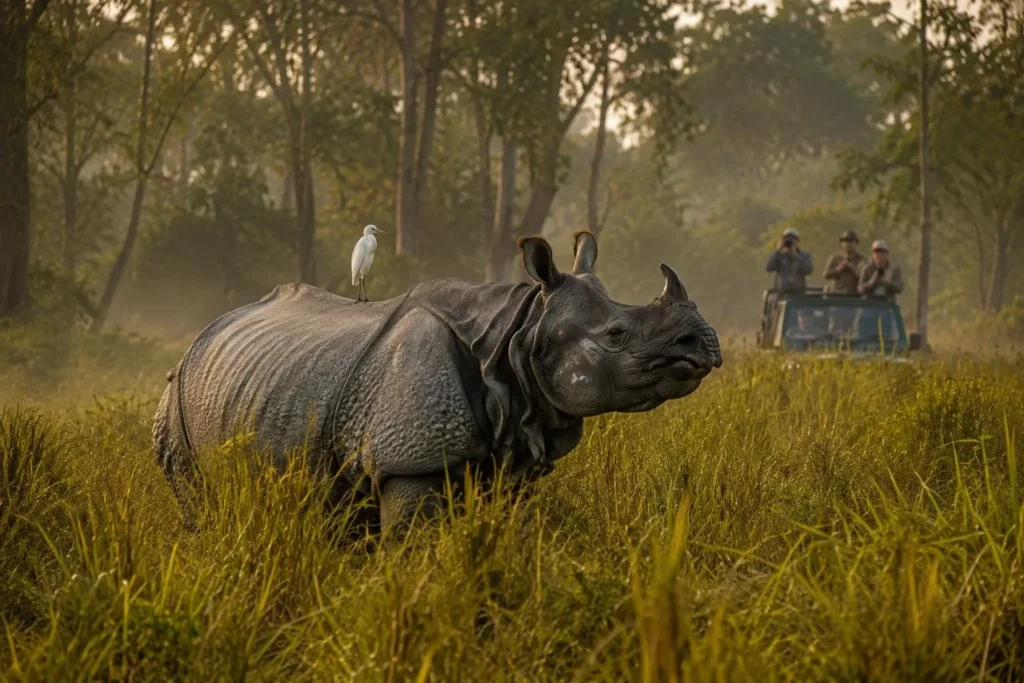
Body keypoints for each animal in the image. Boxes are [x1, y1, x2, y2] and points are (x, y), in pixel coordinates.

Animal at [153, 232, 722, 530]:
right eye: (617, 334)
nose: (705, 342)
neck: (515, 338)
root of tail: (198, 337)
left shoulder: (509, 453)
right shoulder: (411, 459)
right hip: (176, 397)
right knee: (196, 499)